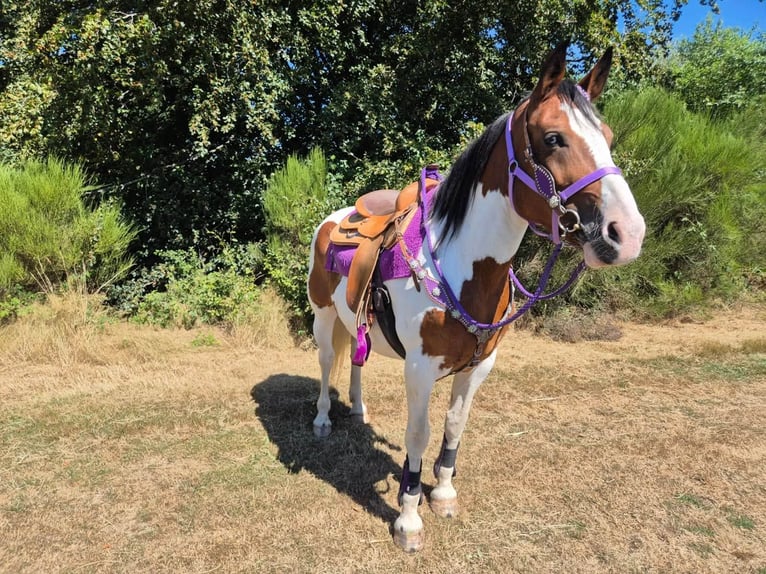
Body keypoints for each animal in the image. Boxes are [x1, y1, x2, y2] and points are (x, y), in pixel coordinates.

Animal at [306, 43, 645, 552]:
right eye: (553, 138)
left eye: (606, 136)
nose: (627, 234)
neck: (458, 262)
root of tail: (336, 218)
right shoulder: (419, 369)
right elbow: (419, 434)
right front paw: (409, 518)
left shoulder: (480, 366)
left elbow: (454, 425)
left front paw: (443, 493)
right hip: (324, 317)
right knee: (328, 362)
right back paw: (325, 419)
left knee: (358, 363)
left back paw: (360, 411)